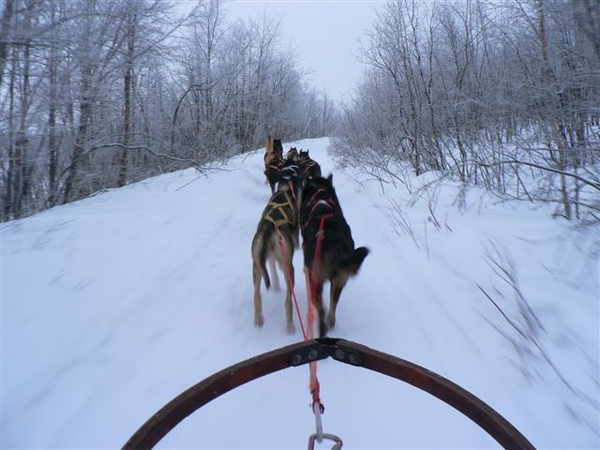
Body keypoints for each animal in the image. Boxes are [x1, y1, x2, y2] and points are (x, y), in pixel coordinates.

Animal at [251, 160, 302, 332]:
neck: (285, 188)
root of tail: (269, 227)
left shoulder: (271, 256)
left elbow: (273, 267)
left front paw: (276, 284)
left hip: (256, 264)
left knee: (256, 294)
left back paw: (259, 317)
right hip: (289, 268)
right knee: (288, 301)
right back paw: (290, 326)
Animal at [298, 174, 366, 336]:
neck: (320, 193)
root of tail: (334, 239)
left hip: (316, 280)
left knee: (322, 309)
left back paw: (322, 329)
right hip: (340, 279)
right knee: (333, 304)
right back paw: (330, 322)